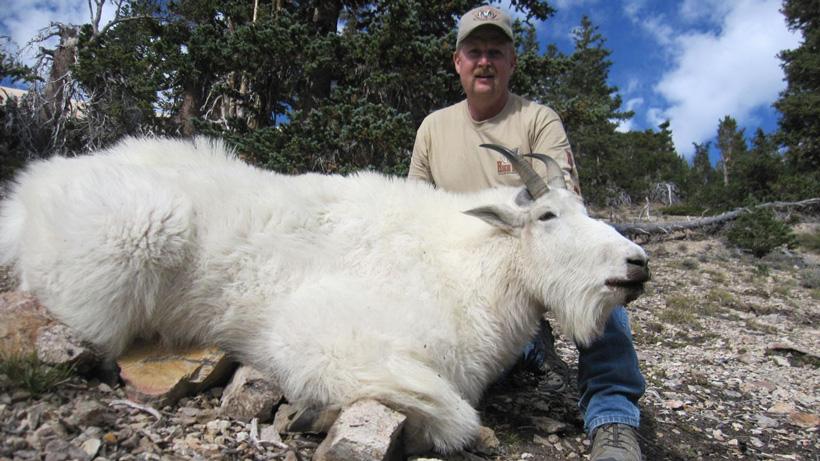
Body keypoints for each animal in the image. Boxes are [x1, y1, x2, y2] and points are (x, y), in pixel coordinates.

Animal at [0, 137, 649, 453]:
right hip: (131, 243)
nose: (636, 264)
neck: (471, 261)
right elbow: (454, 414)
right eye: (547, 215)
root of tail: (30, 190)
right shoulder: (333, 336)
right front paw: (325, 413)